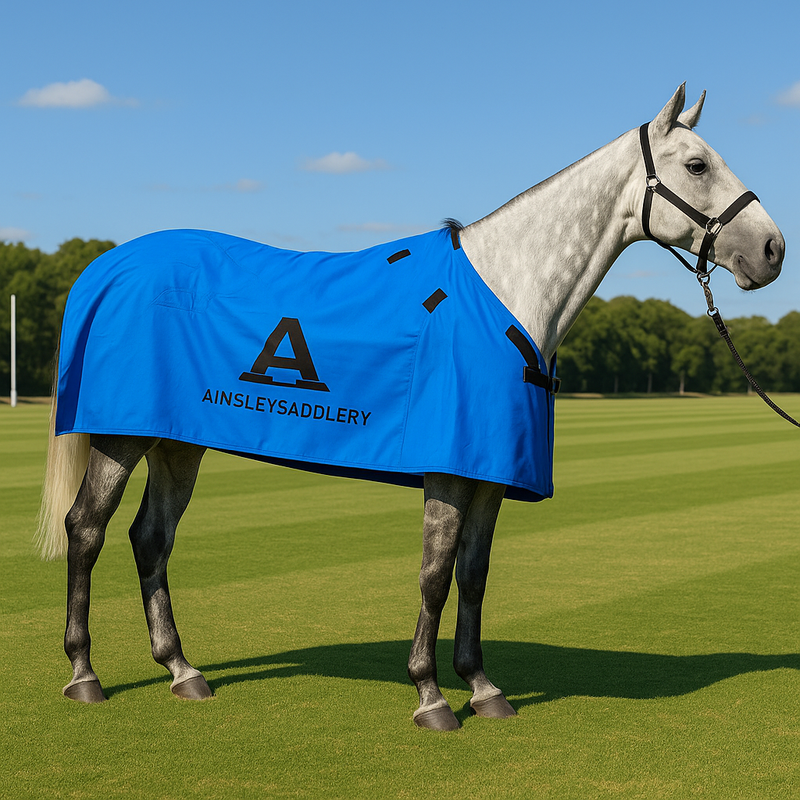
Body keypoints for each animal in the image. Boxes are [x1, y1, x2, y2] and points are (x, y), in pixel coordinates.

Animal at [36, 84, 784, 731]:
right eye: (697, 164)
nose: (773, 250)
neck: (506, 296)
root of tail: (107, 267)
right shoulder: (449, 472)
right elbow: (434, 575)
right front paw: (430, 696)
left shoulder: (490, 478)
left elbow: (473, 576)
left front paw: (482, 687)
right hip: (120, 436)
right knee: (86, 530)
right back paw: (84, 674)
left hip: (176, 441)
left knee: (150, 539)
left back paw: (182, 670)